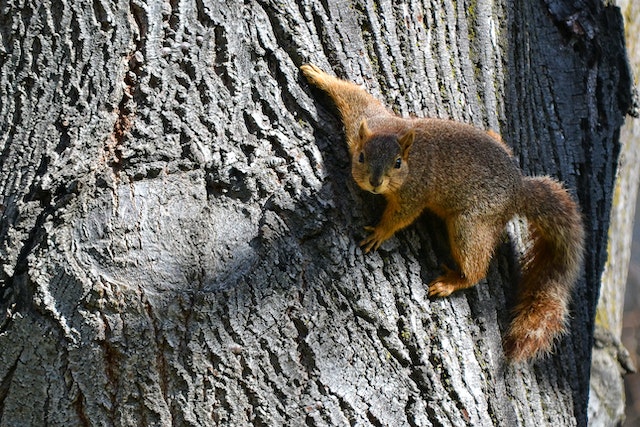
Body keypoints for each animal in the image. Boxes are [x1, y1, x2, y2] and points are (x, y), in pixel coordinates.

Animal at [300, 63, 584, 362]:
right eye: (362, 156)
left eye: (397, 163)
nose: (375, 183)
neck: (411, 156)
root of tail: (519, 191)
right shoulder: (365, 121)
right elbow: (354, 96)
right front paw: (318, 75)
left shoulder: (415, 192)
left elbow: (403, 215)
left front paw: (379, 232)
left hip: (470, 224)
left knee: (476, 266)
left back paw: (453, 282)